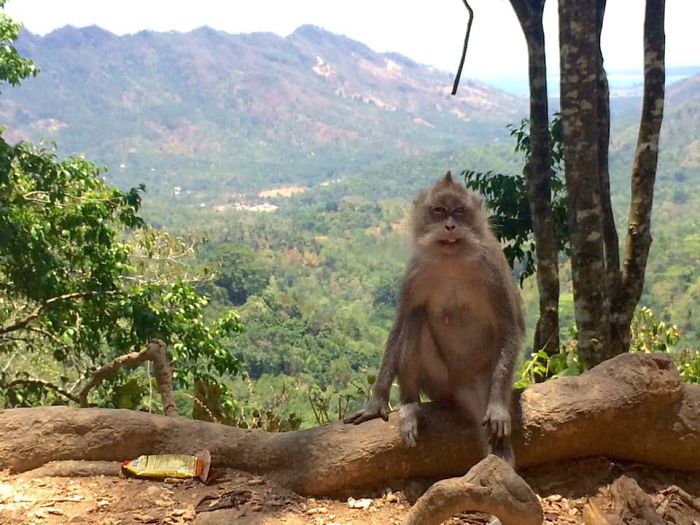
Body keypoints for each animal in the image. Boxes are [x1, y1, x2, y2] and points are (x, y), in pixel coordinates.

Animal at [344, 171, 524, 465]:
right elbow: (399, 325)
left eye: (459, 211)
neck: (452, 261)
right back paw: (409, 405)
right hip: (440, 385)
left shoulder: (493, 265)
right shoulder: (416, 271)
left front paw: (498, 407)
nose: (450, 226)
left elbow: (511, 326)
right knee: (415, 318)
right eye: (439, 210)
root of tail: (466, 388)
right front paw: (376, 402)